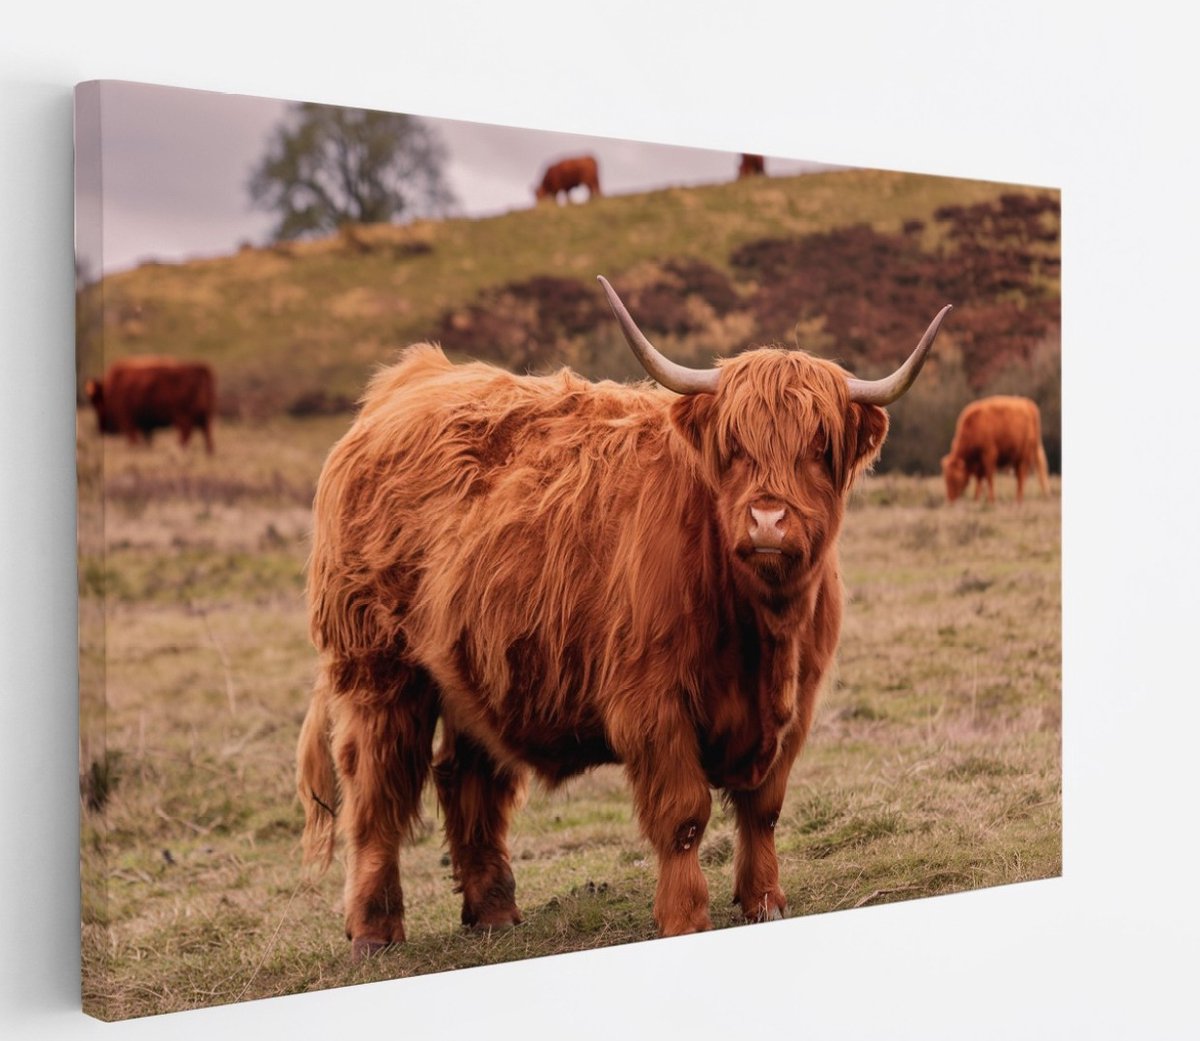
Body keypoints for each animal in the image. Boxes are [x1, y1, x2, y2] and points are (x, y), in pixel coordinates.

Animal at [84, 357, 216, 454]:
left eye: (97, 402)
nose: (102, 428)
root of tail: (200, 368)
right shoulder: (145, 426)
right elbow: (147, 439)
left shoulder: (127, 421)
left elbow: (132, 439)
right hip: (205, 416)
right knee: (207, 435)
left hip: (183, 418)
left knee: (186, 434)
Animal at [296, 276, 952, 959]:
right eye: (734, 448)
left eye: (819, 448)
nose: (768, 521)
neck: (763, 630)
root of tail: (411, 379)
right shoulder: (652, 703)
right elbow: (684, 817)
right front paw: (686, 918)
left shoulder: (797, 706)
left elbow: (763, 809)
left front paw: (765, 902)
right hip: (376, 669)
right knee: (375, 790)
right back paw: (374, 931)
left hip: (474, 666)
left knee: (466, 777)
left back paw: (495, 911)